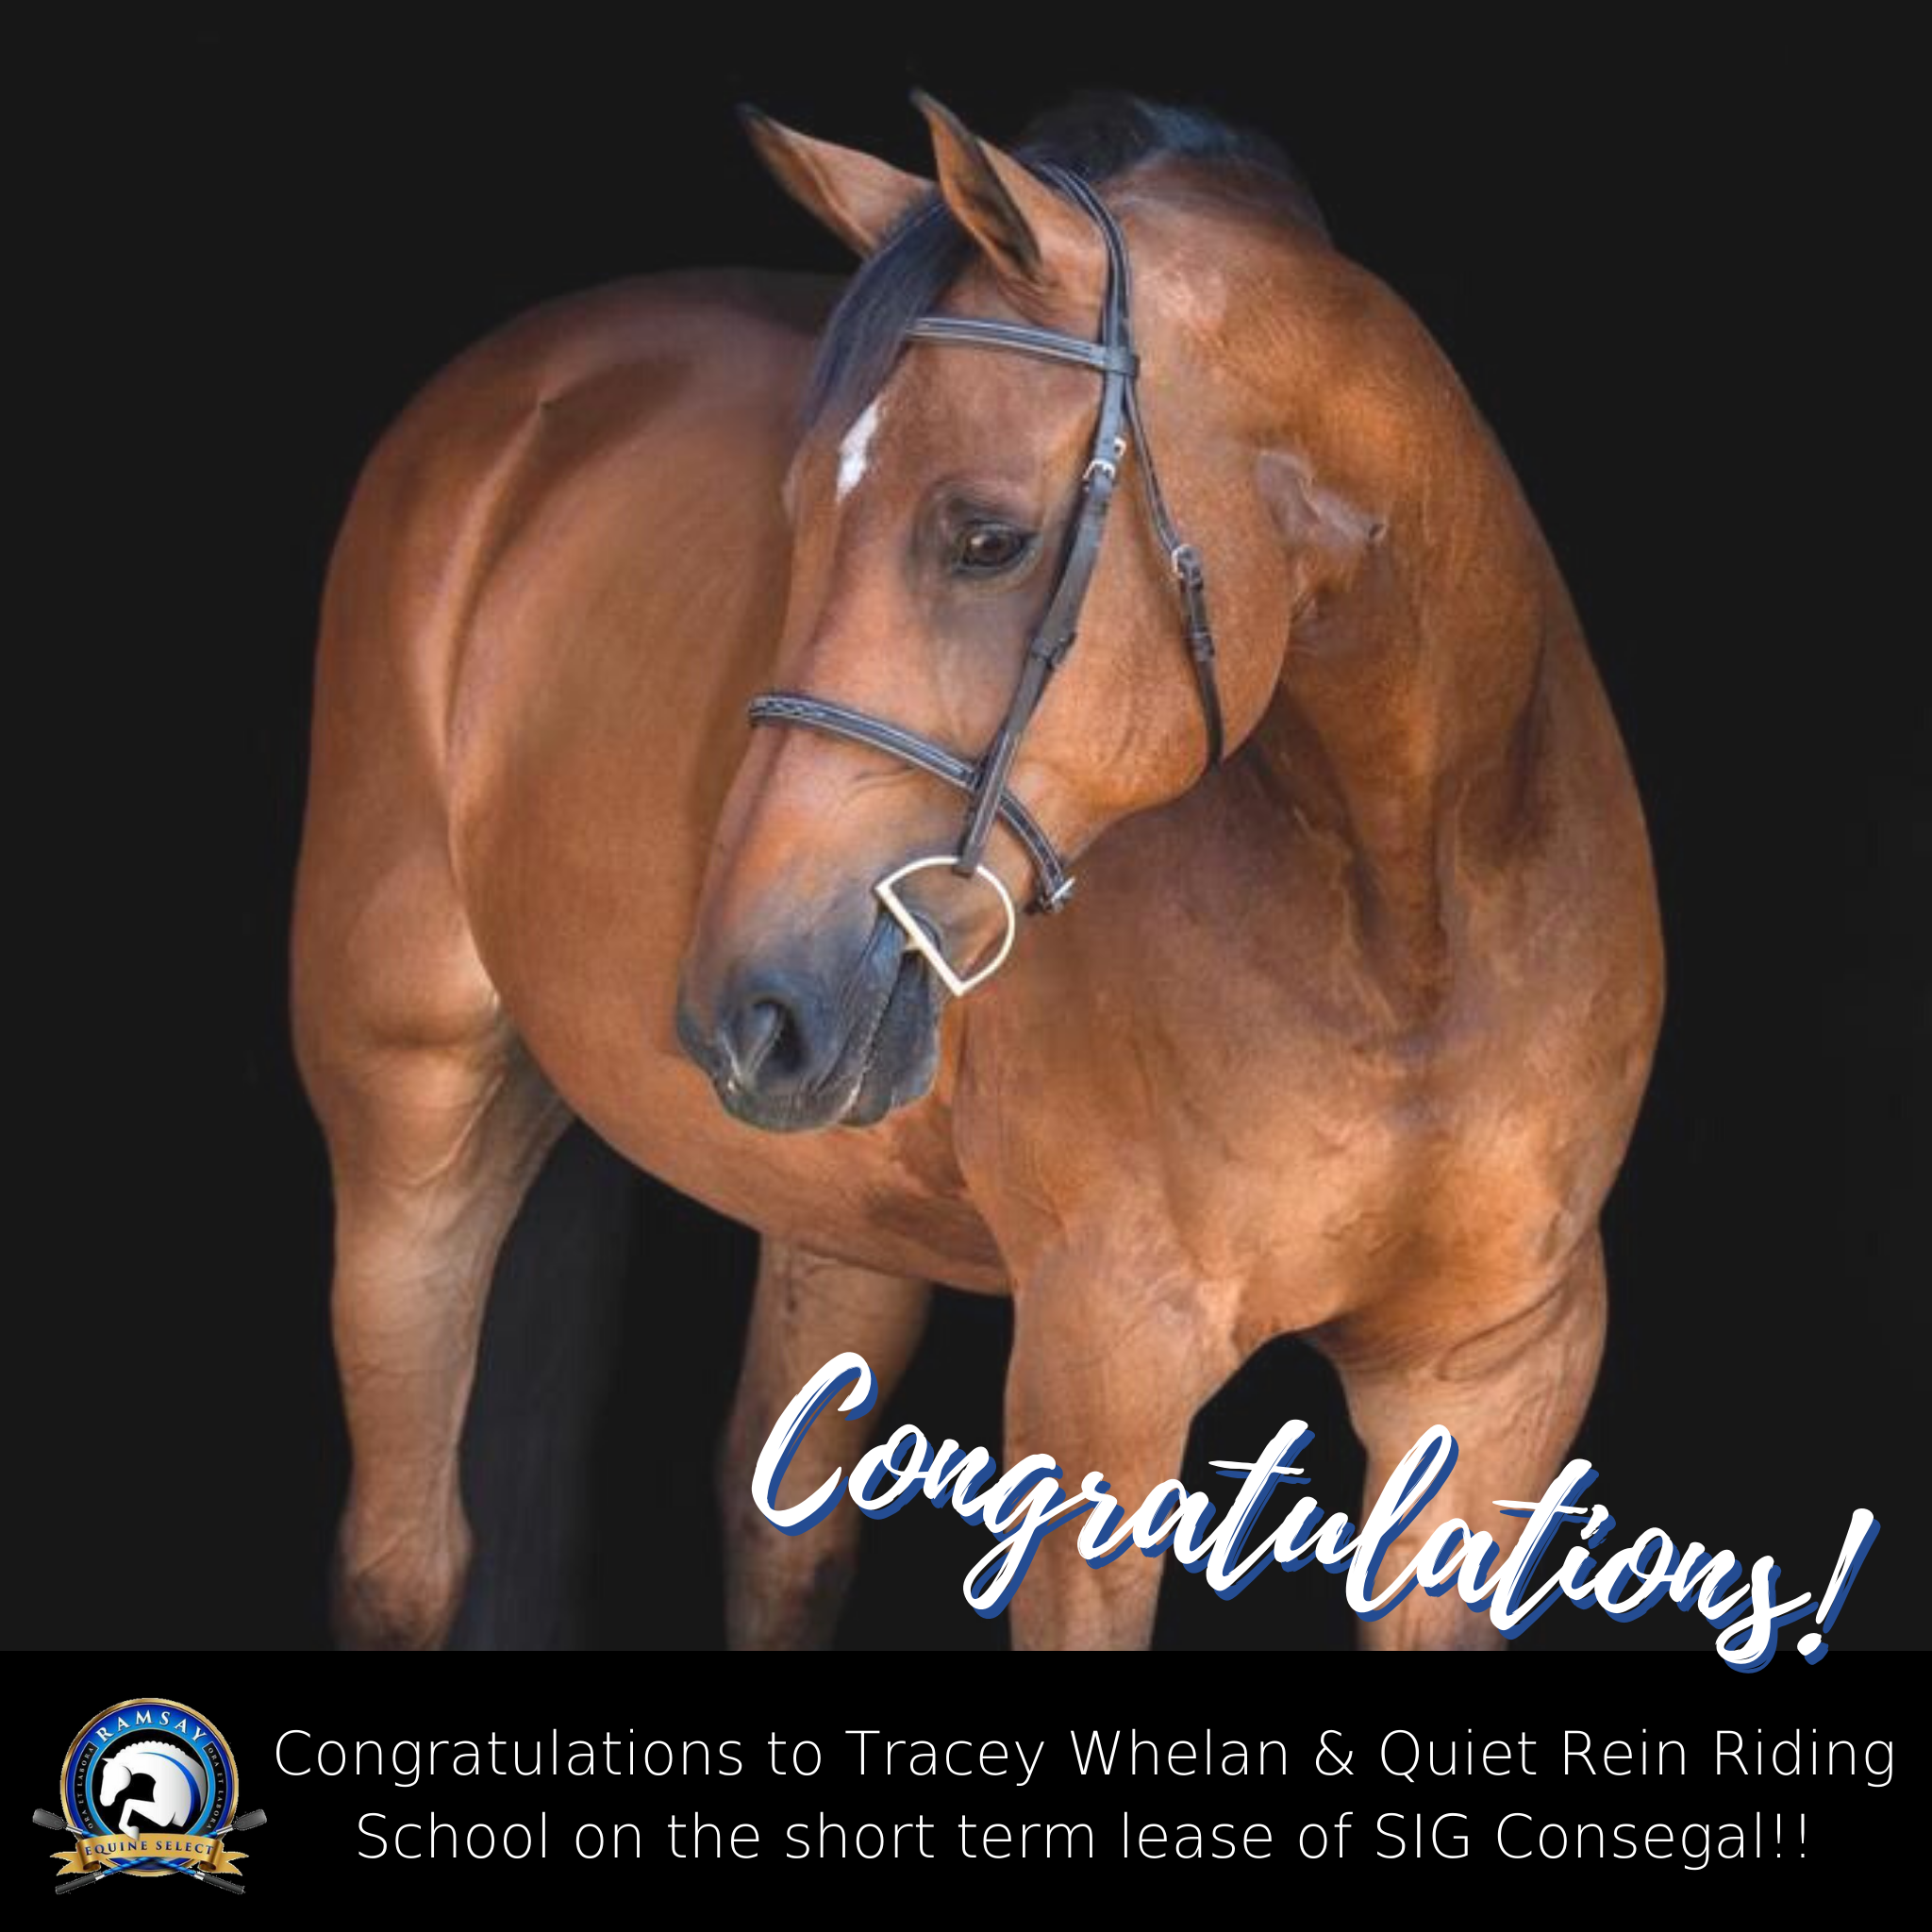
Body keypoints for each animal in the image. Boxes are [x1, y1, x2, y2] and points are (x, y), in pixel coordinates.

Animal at [292, 90, 1662, 1652]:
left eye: (987, 538)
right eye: (794, 516)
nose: (743, 1008)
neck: (1414, 923)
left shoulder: (1495, 1385)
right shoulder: (1102, 1367)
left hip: (837, 1217)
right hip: (408, 1120)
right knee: (403, 1557)